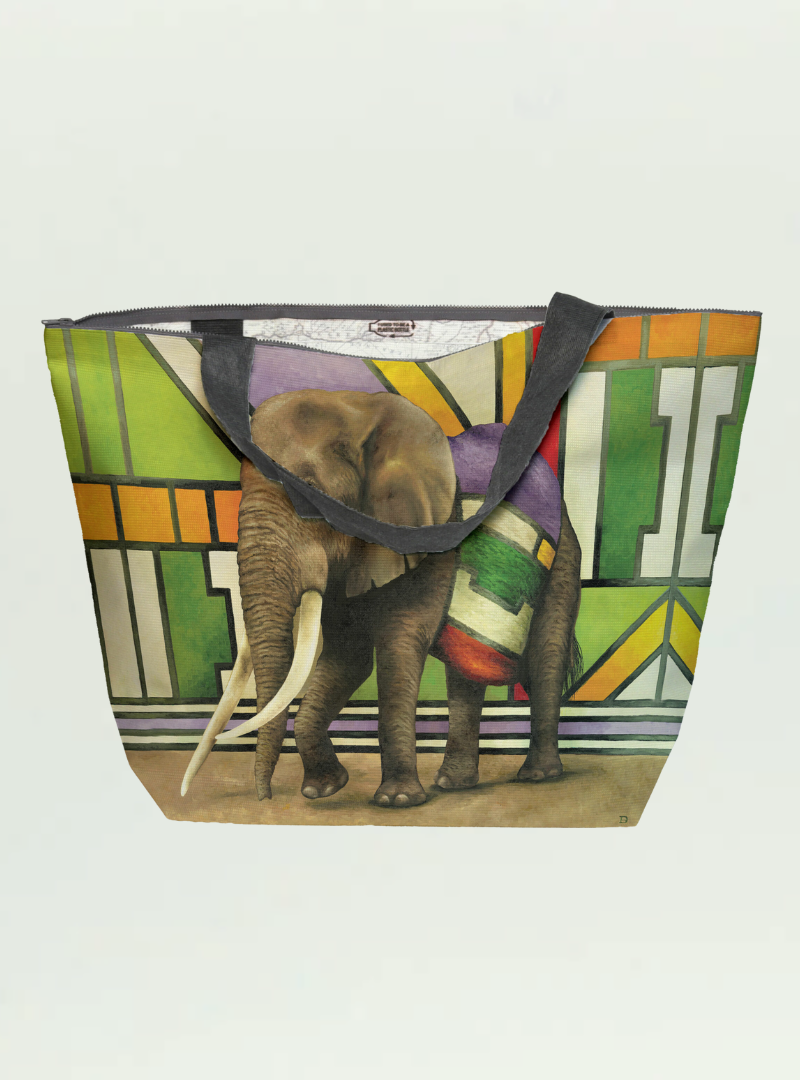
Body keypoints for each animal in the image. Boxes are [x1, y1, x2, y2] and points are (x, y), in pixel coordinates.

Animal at [181, 388, 582, 808]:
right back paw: (454, 783)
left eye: (310, 497)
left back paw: (538, 775)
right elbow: (349, 657)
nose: (265, 798)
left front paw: (398, 801)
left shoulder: (429, 537)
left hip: (564, 554)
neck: (359, 414)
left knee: (545, 654)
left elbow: (398, 648)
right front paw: (324, 789)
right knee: (465, 673)